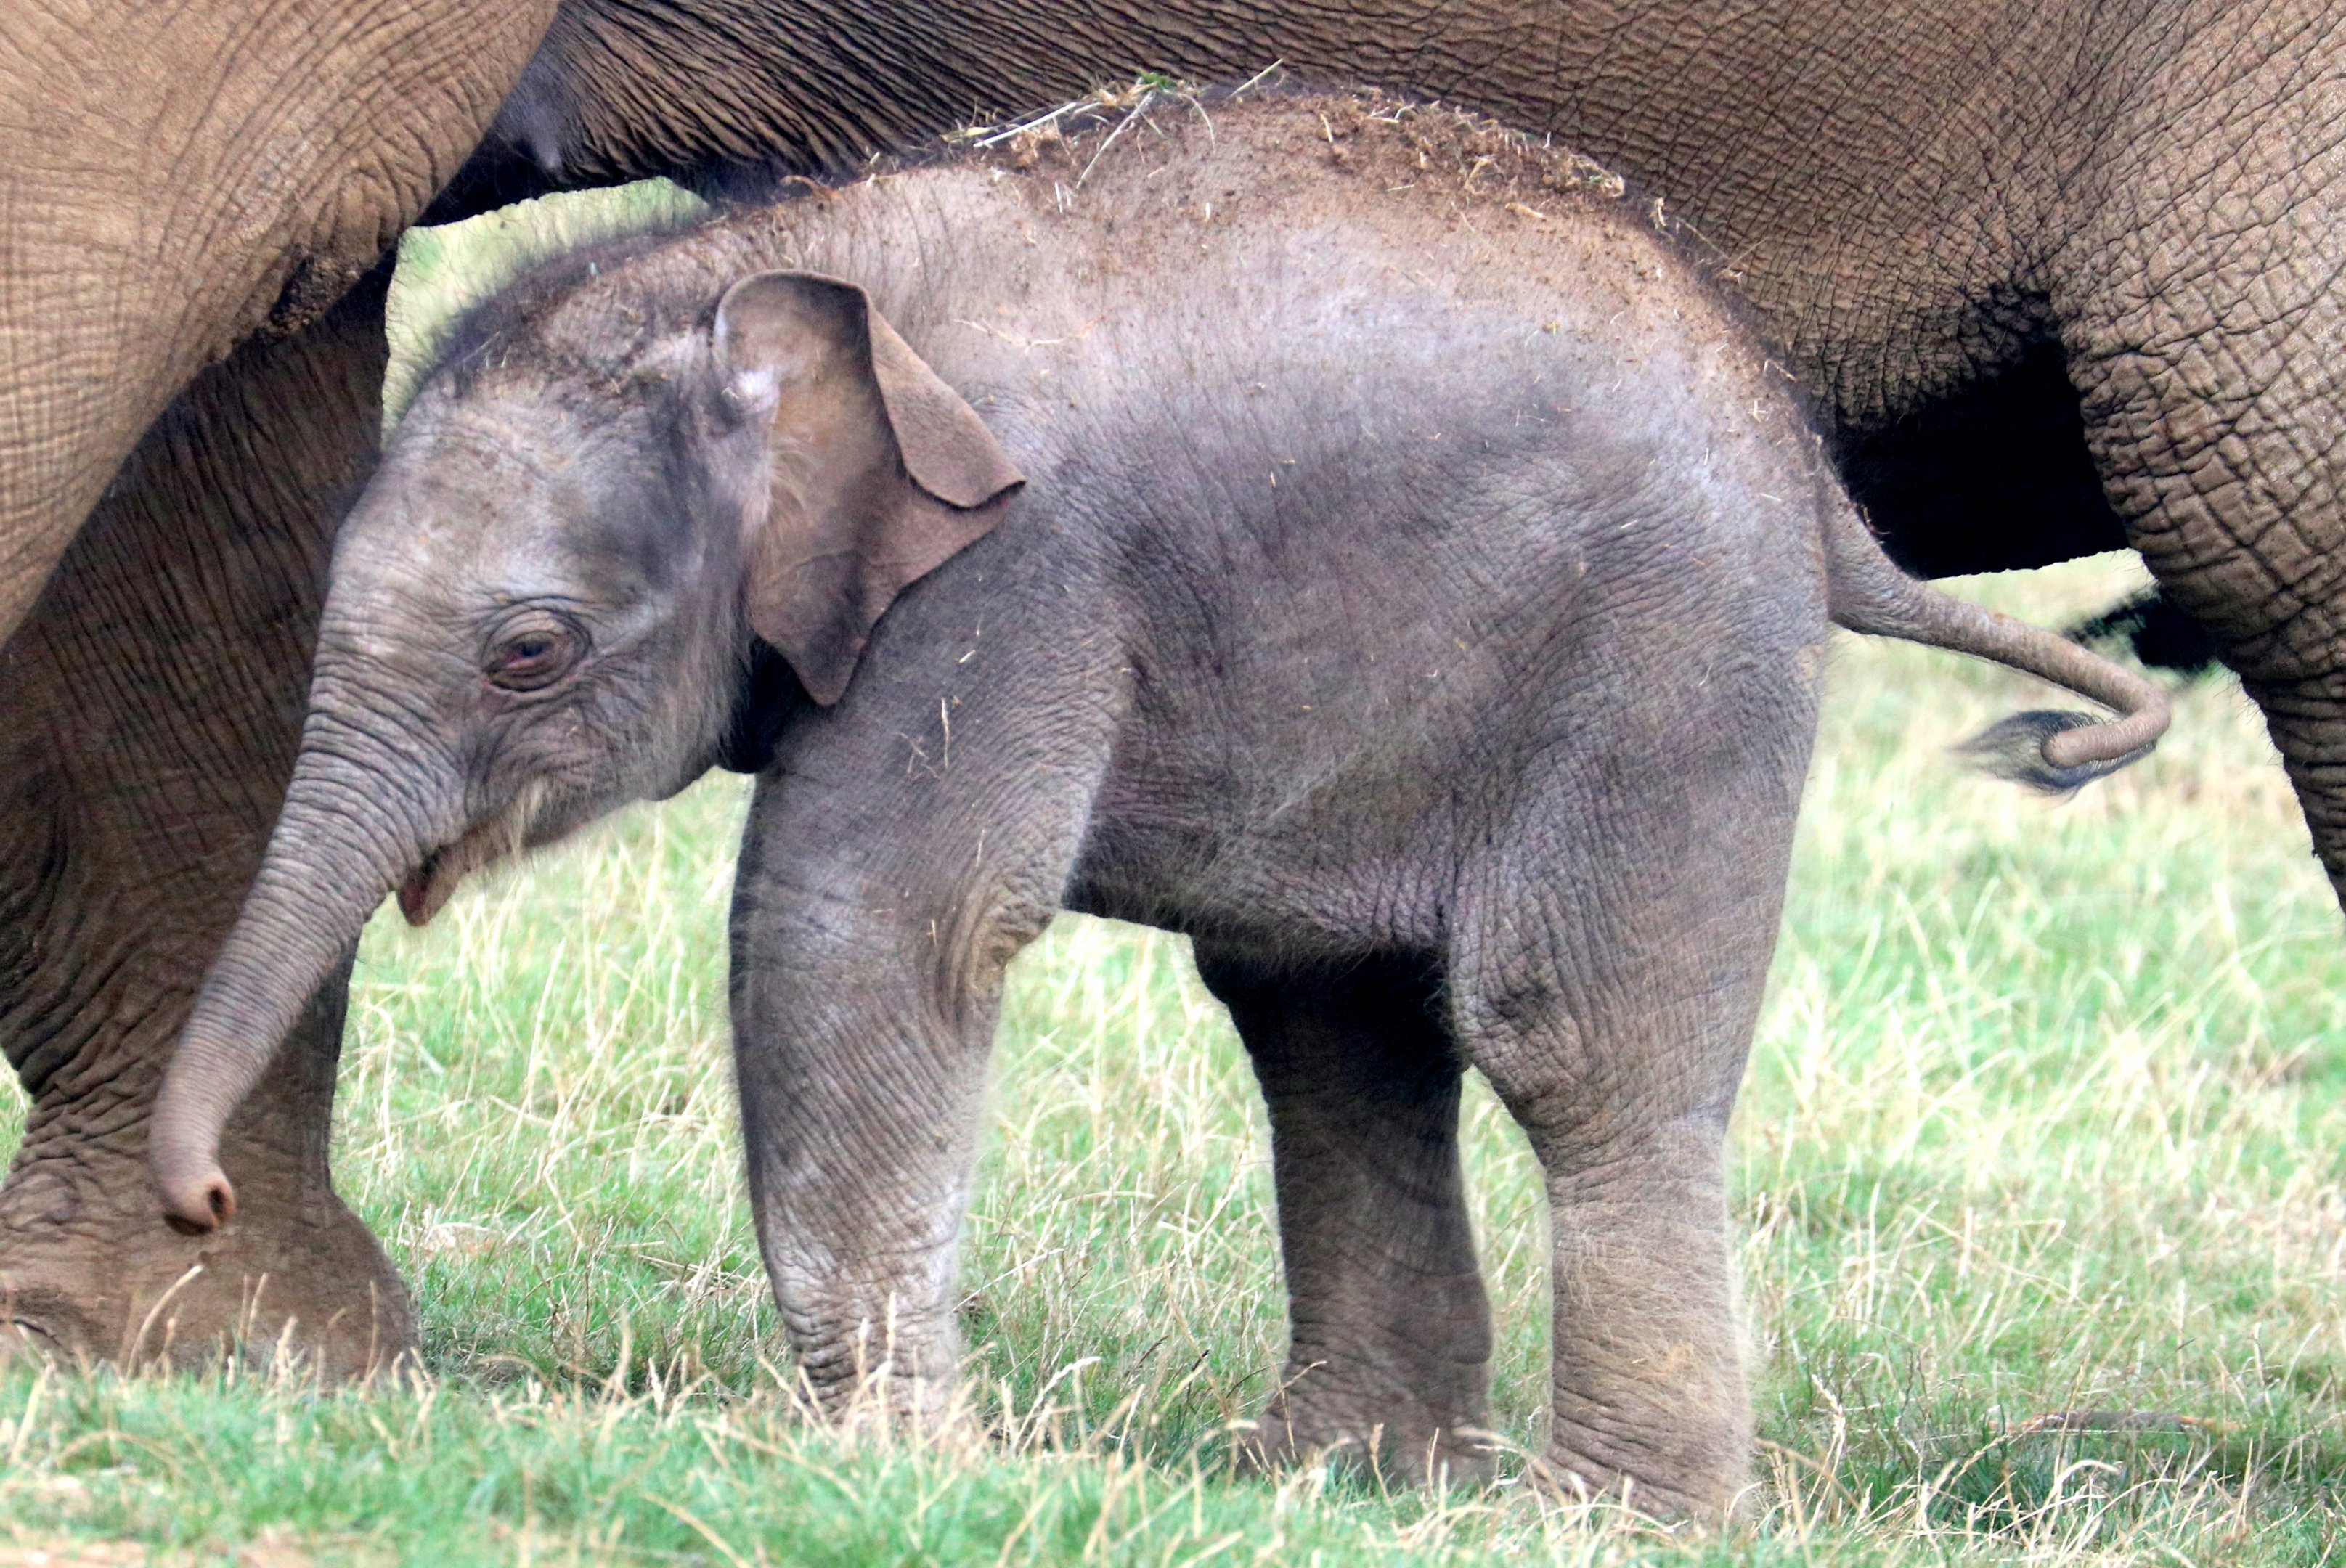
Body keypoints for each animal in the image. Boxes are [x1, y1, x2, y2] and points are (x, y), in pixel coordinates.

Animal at [3, 1, 2337, 1374]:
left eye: (527, 653)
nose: (198, 1190)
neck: (798, 283)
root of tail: (1817, 492)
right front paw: (218, 1352)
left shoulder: (1014, 582)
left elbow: (861, 921)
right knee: (1336, 1005)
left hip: (1674, 651)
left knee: (1566, 1034)